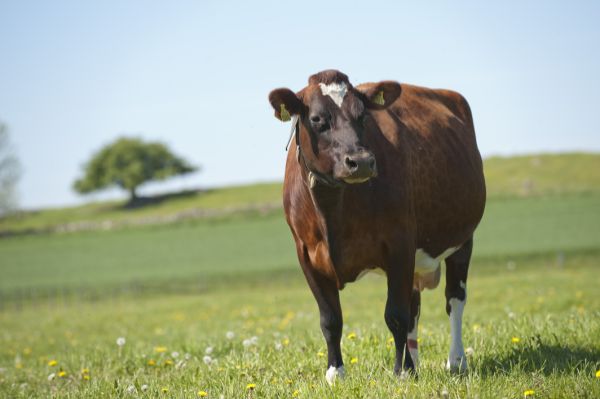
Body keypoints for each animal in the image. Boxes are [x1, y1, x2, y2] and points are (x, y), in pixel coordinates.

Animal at [270, 69, 486, 384]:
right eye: (318, 119)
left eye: (362, 116)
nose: (360, 161)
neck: (331, 208)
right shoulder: (307, 256)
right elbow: (330, 319)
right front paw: (336, 372)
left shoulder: (399, 244)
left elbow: (396, 315)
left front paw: (402, 371)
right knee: (415, 307)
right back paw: (416, 360)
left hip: (463, 239)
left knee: (454, 301)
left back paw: (456, 361)